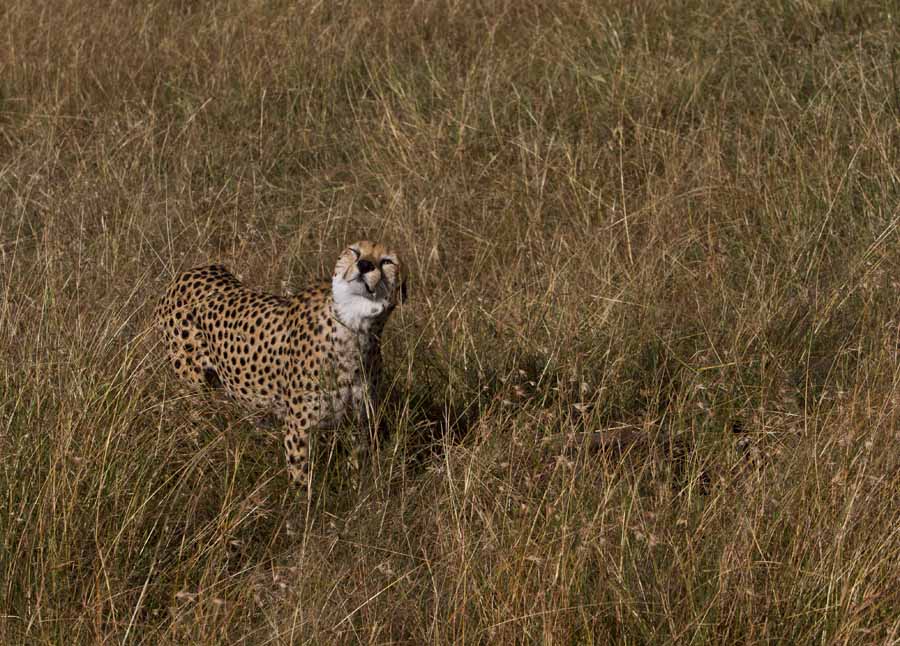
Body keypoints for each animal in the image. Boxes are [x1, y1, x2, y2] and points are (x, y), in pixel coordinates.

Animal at [156, 243, 406, 492]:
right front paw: (304, 501)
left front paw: (357, 492)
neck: (355, 331)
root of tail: (193, 270)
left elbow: (357, 466)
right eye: (354, 251)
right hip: (192, 390)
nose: (364, 265)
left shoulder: (359, 422)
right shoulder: (299, 430)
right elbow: (301, 479)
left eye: (387, 261)